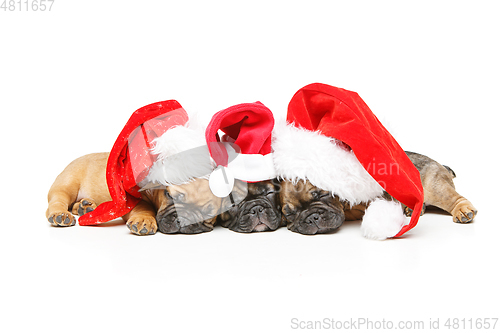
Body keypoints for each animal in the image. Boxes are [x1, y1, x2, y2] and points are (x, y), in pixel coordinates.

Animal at [46, 152, 222, 235]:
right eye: (171, 196)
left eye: (209, 213)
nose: (185, 220)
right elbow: (144, 206)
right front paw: (145, 219)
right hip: (66, 185)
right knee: (57, 202)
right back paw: (60, 214)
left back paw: (86, 207)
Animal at [278, 150, 476, 233]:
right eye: (289, 214)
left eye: (324, 194)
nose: (311, 217)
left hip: (435, 188)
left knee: (453, 198)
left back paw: (463, 210)